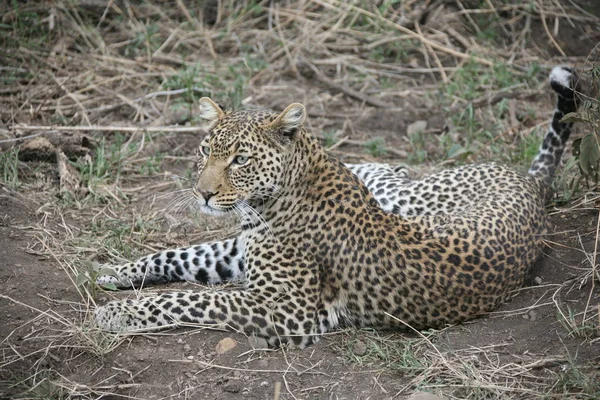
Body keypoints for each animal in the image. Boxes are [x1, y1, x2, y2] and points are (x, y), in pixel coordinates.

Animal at [96, 66, 580, 346]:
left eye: (240, 159)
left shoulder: (287, 309)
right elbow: (179, 255)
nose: (203, 193)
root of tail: (530, 186)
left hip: (408, 196)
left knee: (392, 174)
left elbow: (189, 298)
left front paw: (117, 313)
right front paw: (114, 273)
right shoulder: (235, 253)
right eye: (204, 151)